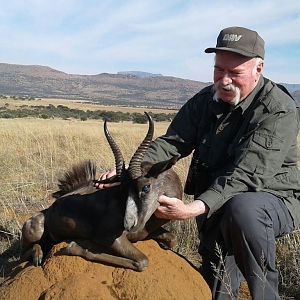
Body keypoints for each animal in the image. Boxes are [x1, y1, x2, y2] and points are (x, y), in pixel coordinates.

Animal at [21, 112, 182, 272]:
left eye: (146, 187)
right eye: (123, 189)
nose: (129, 225)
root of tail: (48, 209)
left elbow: (172, 239)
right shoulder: (110, 238)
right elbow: (142, 261)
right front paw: (75, 246)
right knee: (23, 254)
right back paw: (38, 255)